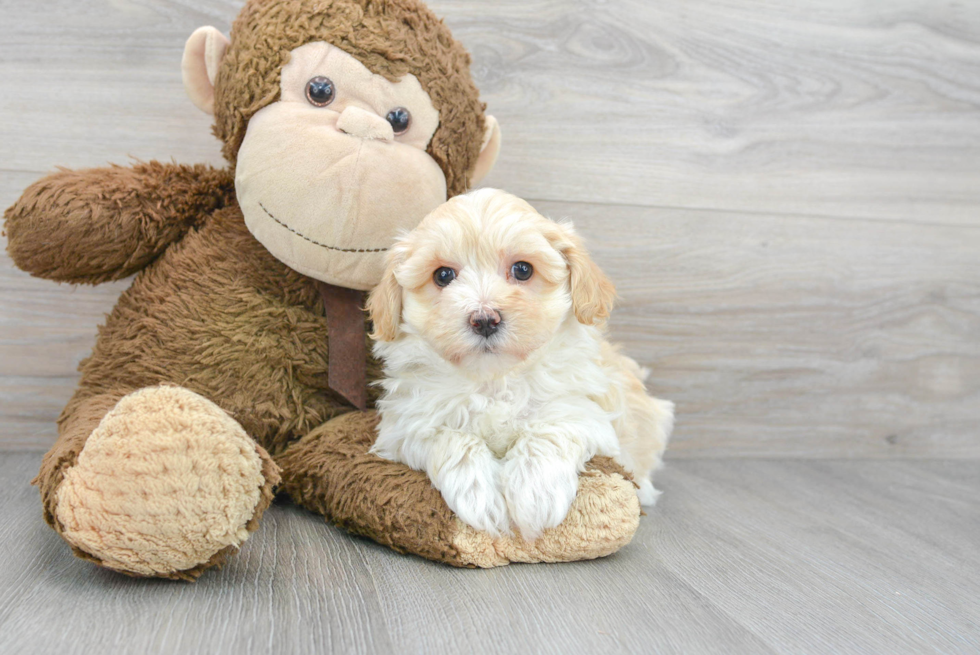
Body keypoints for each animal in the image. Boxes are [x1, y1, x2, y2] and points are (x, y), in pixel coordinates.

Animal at [368, 187, 672, 540]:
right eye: (443, 275)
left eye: (523, 270)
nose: (485, 319)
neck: (495, 378)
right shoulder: (407, 424)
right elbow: (452, 438)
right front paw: (480, 496)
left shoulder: (584, 412)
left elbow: (550, 430)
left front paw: (535, 494)